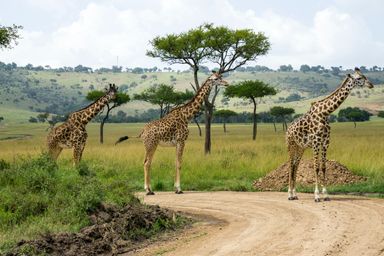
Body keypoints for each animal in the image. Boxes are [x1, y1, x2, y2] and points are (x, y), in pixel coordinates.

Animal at [286, 67, 374, 202]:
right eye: (359, 78)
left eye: (365, 76)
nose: (371, 84)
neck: (325, 113)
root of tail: (288, 129)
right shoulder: (316, 142)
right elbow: (316, 167)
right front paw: (317, 196)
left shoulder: (325, 142)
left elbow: (323, 167)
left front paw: (326, 195)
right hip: (291, 144)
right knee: (291, 166)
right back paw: (290, 194)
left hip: (300, 147)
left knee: (296, 165)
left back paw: (295, 194)